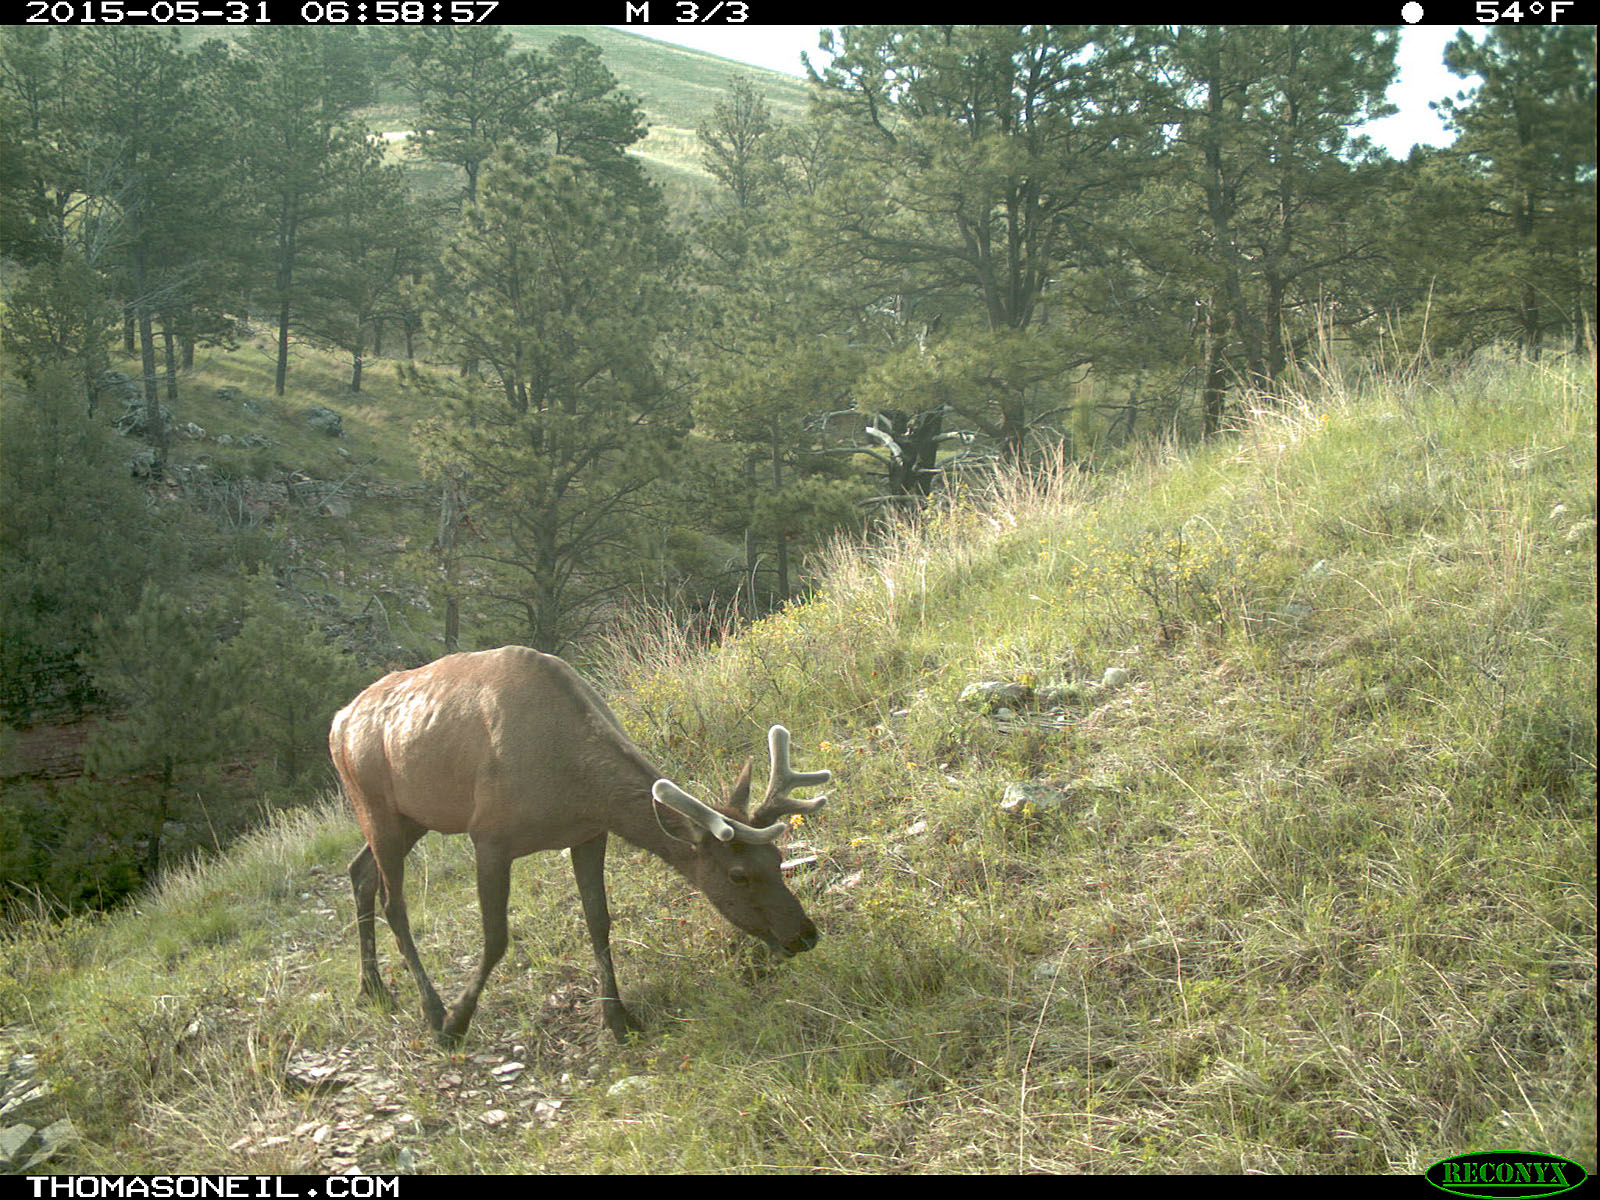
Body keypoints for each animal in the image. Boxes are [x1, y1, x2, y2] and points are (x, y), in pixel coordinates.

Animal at [328, 645, 832, 1043]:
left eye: (778, 856)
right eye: (738, 874)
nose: (805, 934)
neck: (574, 784)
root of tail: (337, 722)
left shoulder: (589, 833)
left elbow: (599, 921)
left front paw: (619, 1019)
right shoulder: (489, 835)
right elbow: (495, 938)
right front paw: (457, 1022)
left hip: (413, 817)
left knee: (359, 872)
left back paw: (372, 987)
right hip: (371, 802)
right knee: (394, 902)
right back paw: (431, 1010)